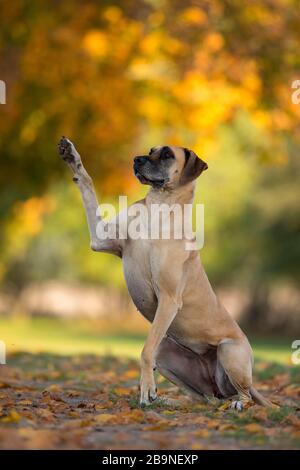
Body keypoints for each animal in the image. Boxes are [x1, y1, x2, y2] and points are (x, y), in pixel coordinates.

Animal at [58, 138, 272, 410]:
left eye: (167, 155)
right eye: (151, 151)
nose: (136, 159)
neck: (159, 207)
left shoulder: (168, 299)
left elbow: (145, 351)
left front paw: (146, 389)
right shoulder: (100, 239)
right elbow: (87, 185)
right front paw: (71, 156)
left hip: (230, 351)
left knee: (243, 395)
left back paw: (237, 404)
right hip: (169, 353)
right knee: (205, 397)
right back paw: (172, 401)